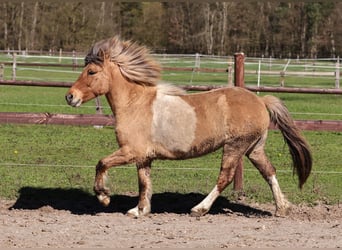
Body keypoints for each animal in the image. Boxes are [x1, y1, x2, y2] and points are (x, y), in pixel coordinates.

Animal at [65, 36, 312, 218]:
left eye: (91, 72)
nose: (70, 97)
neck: (135, 104)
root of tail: (261, 100)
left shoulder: (130, 151)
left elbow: (101, 163)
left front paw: (104, 196)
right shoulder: (143, 156)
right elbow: (144, 182)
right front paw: (139, 210)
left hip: (235, 146)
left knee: (225, 177)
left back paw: (198, 209)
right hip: (254, 148)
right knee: (269, 171)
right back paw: (281, 208)